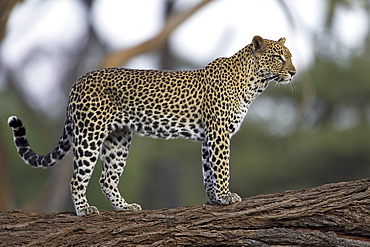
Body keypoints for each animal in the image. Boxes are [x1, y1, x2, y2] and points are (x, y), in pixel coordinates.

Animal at [7, 36, 294, 216]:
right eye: (279, 57)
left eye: (289, 57)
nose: (293, 72)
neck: (256, 83)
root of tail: (78, 81)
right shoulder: (219, 133)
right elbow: (222, 167)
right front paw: (226, 197)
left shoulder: (209, 137)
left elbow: (208, 170)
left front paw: (214, 199)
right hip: (90, 133)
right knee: (77, 177)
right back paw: (83, 210)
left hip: (118, 139)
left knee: (106, 179)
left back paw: (125, 208)